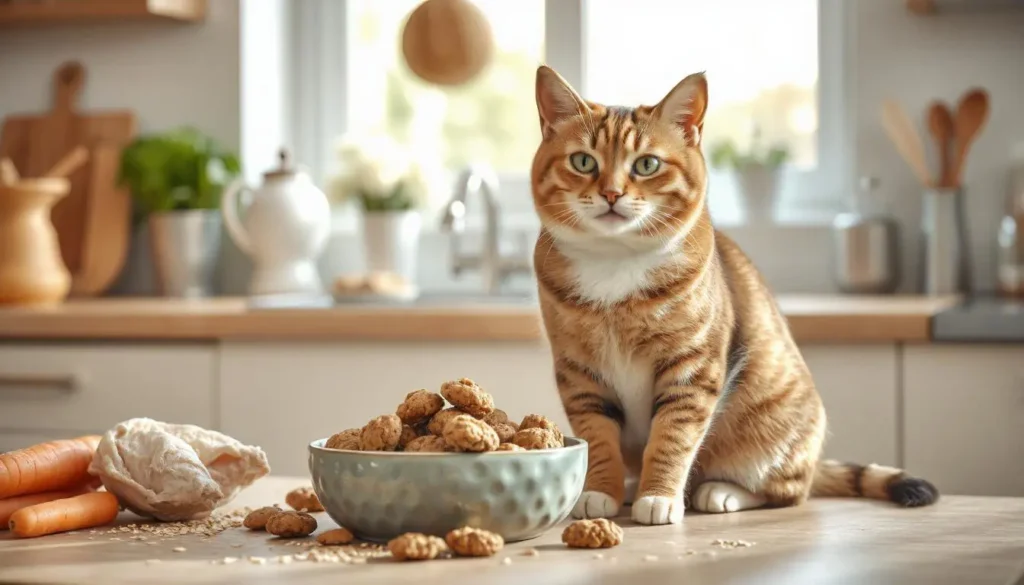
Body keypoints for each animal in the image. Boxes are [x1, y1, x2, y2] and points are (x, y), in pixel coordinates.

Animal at [532, 66, 937, 528]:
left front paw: (660, 496)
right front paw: (601, 491)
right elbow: (598, 438)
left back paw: (719, 492)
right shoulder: (580, 373)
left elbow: (672, 437)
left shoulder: (693, 367)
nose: (612, 194)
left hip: (769, 428)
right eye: (583, 161)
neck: (616, 266)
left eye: (647, 164)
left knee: (786, 491)